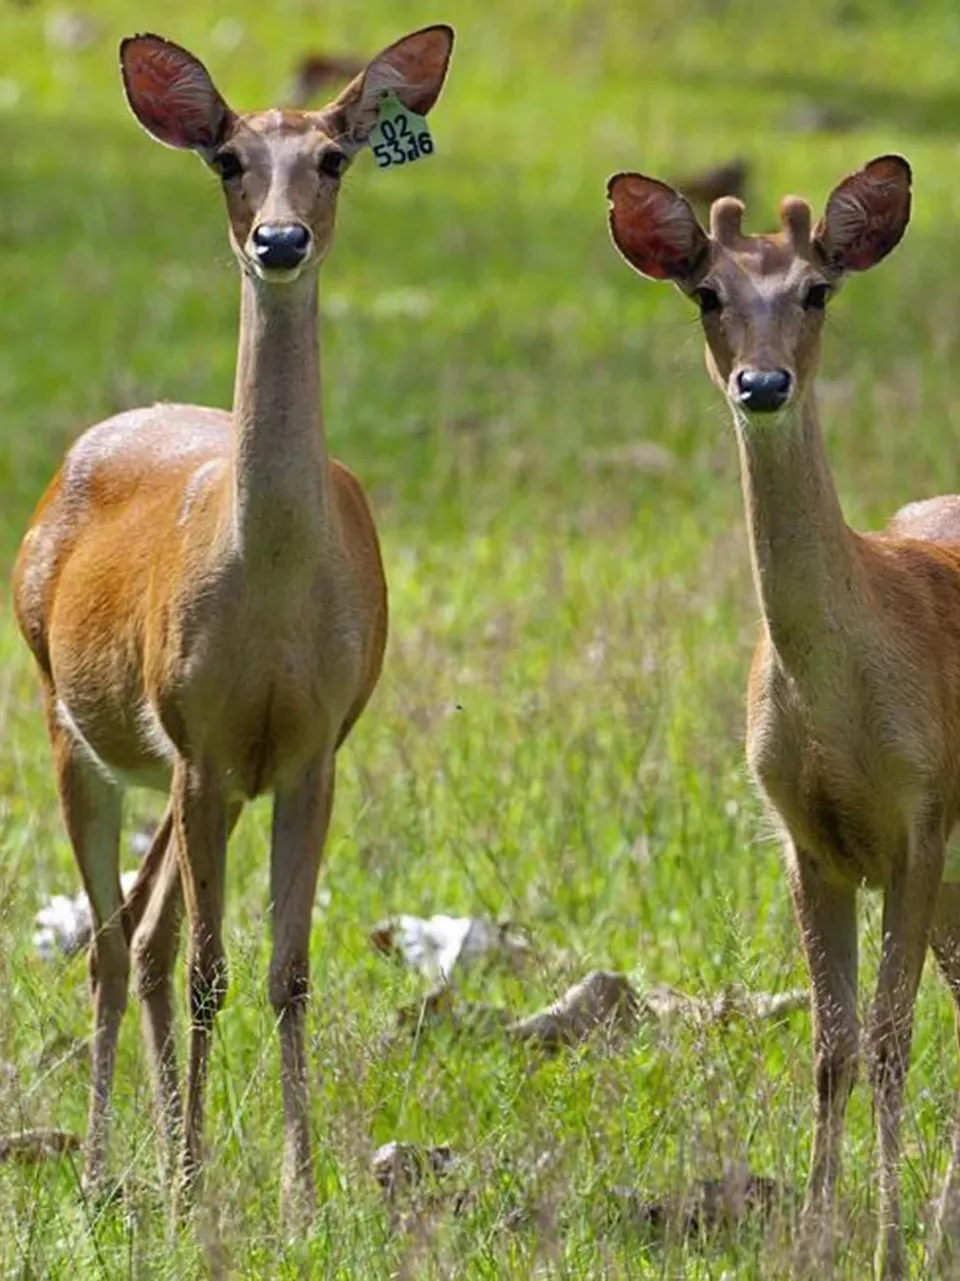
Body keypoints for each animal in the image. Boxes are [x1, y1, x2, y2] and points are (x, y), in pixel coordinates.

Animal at [11, 24, 453, 1214]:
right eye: (227, 160)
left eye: (334, 158)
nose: (280, 239)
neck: (272, 603)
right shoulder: (204, 740)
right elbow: (210, 969)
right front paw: (193, 1187)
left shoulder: (312, 747)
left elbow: (287, 970)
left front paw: (298, 1189)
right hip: (76, 723)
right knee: (115, 943)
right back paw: (112, 1169)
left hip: (174, 770)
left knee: (148, 930)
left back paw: (170, 1153)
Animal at [607, 155, 960, 1275]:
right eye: (706, 294)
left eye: (816, 290)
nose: (763, 385)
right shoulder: (806, 836)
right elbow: (831, 1048)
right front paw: (816, 1240)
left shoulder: (923, 815)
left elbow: (889, 1041)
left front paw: (886, 1247)